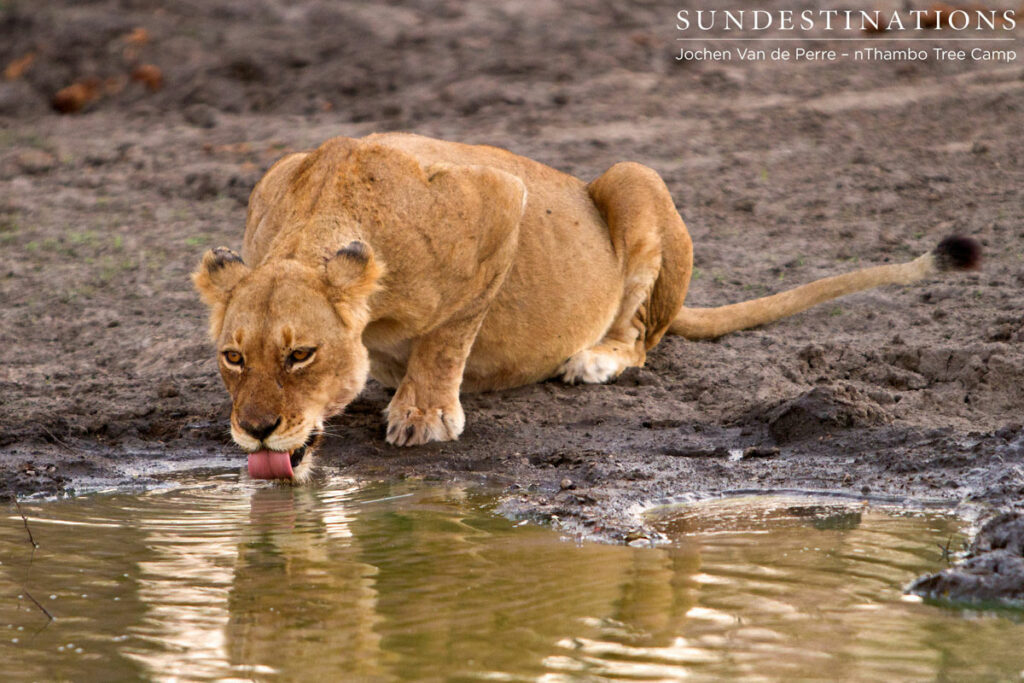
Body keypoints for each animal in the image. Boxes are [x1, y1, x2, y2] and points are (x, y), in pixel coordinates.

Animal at [193, 133, 980, 482]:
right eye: (233, 356)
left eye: (301, 354)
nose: (257, 429)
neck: (314, 225)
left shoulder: (499, 199)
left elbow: (450, 332)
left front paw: (423, 412)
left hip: (633, 178)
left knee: (640, 336)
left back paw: (592, 359)